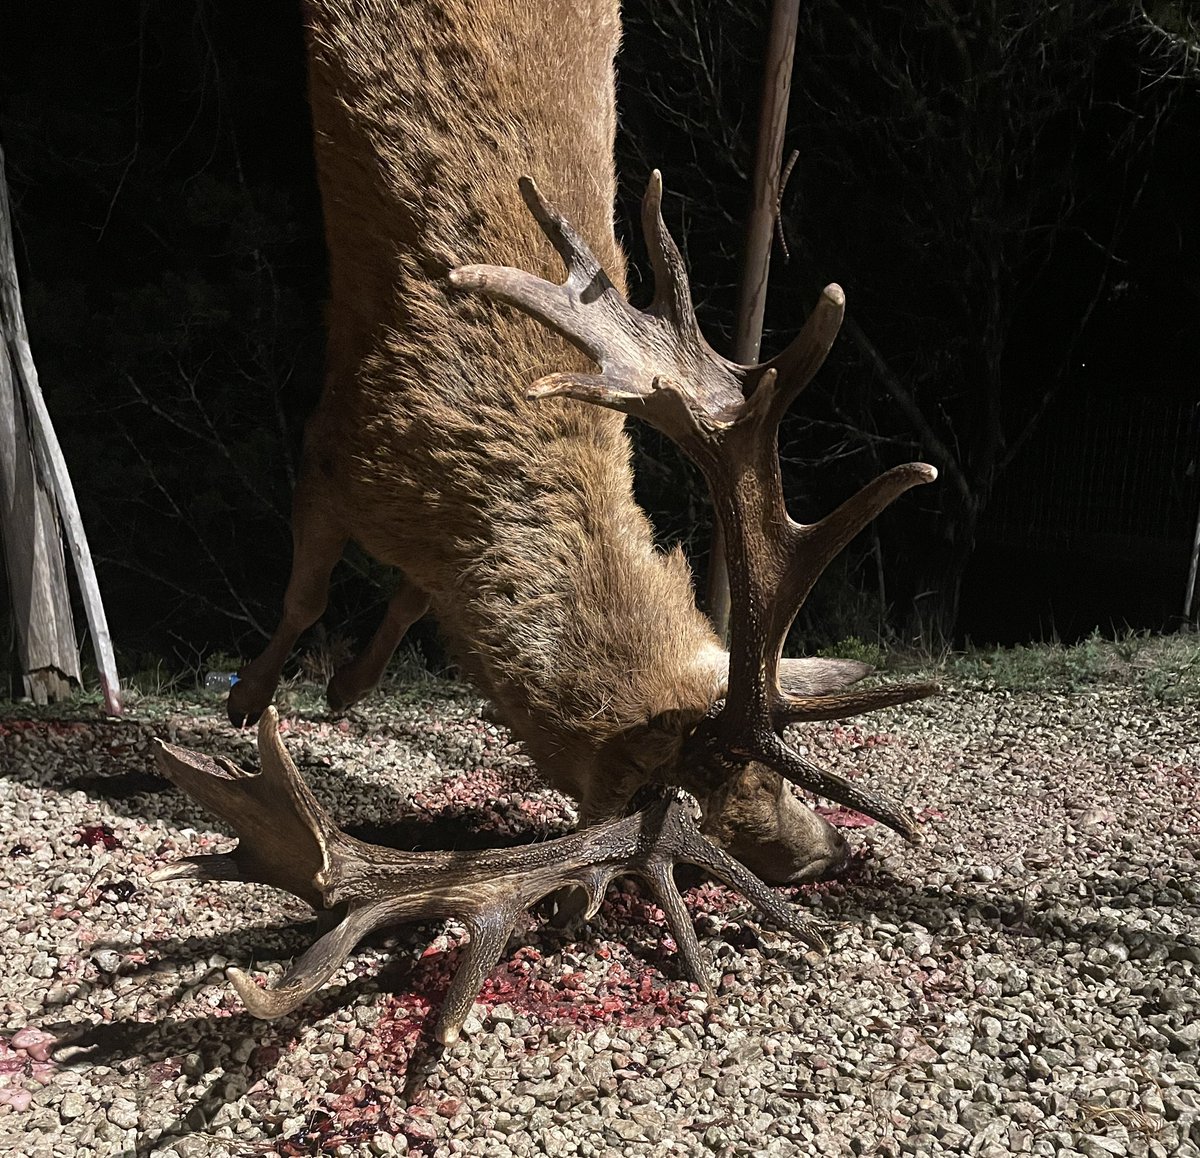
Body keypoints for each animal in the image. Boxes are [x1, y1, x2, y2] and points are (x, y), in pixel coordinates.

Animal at [151, 0, 939, 1044]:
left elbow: (402, 598)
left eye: (773, 778)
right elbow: (308, 592)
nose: (827, 856)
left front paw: (350, 684)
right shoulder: (331, 449)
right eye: (711, 792)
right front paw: (252, 697)